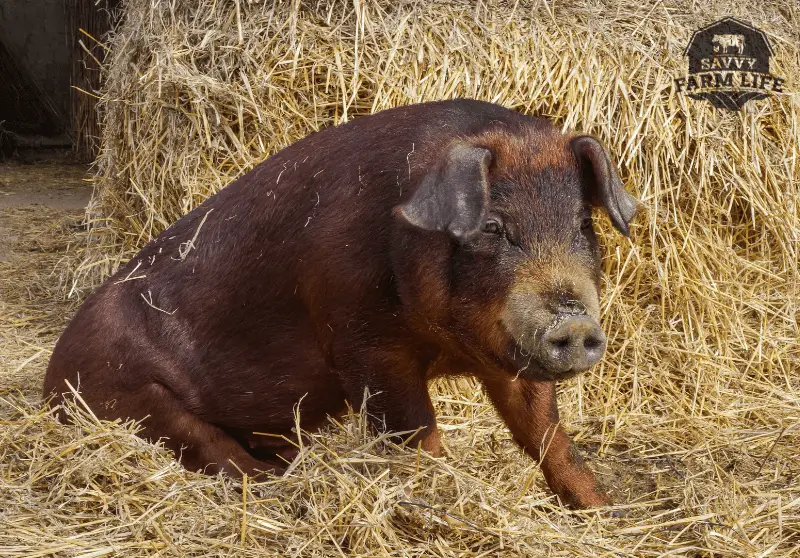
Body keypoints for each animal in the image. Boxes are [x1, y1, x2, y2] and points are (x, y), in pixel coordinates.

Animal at [43, 99, 639, 509]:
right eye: (493, 227)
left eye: (583, 226)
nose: (574, 322)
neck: (448, 347)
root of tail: (50, 379)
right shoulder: (365, 343)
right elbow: (415, 433)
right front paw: (435, 498)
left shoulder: (512, 359)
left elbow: (548, 436)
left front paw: (603, 510)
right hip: (137, 397)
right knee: (220, 457)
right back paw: (280, 488)